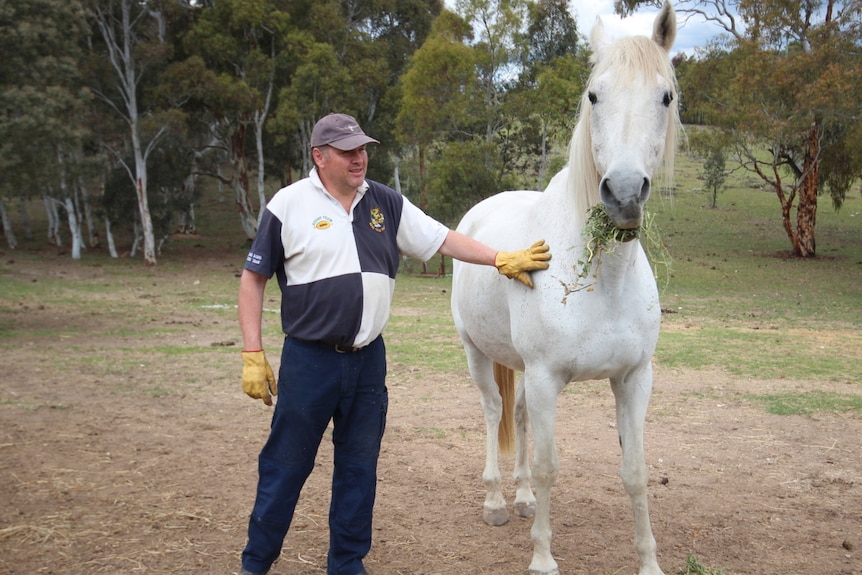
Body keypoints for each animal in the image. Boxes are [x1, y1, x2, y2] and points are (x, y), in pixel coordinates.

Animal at [452, 4, 680, 575]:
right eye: (594, 95)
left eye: (665, 97)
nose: (624, 194)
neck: (605, 280)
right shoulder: (546, 377)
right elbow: (550, 466)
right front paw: (542, 558)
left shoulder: (633, 380)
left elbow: (635, 471)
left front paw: (648, 561)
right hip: (478, 354)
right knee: (494, 412)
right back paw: (496, 501)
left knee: (518, 418)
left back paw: (521, 498)